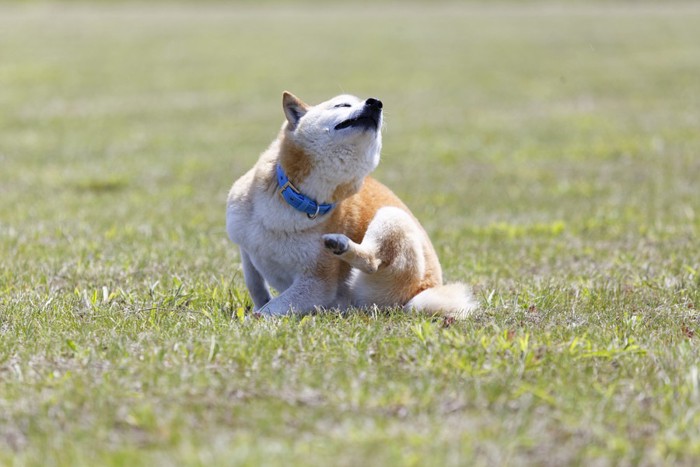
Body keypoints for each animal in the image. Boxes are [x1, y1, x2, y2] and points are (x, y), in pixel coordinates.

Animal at [224, 92, 476, 318]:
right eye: (342, 104)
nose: (375, 103)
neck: (300, 200)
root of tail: (426, 289)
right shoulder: (245, 245)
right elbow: (255, 285)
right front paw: (257, 306)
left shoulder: (317, 281)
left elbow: (272, 307)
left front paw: (253, 319)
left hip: (391, 219)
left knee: (372, 261)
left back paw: (341, 245)